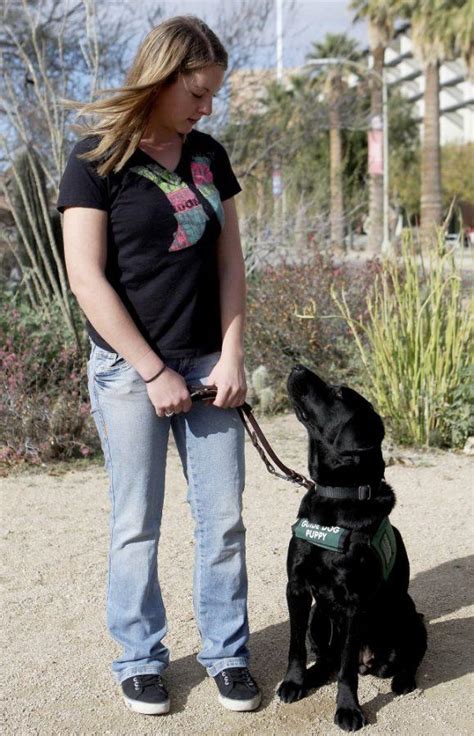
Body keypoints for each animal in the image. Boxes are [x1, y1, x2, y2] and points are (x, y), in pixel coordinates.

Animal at [276, 368, 428, 732]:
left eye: (338, 394)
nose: (297, 368)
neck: (337, 497)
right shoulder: (296, 588)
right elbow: (295, 647)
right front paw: (293, 682)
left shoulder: (355, 602)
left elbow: (346, 669)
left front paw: (348, 709)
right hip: (319, 616)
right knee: (327, 656)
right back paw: (313, 676)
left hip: (409, 615)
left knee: (406, 657)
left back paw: (403, 680)